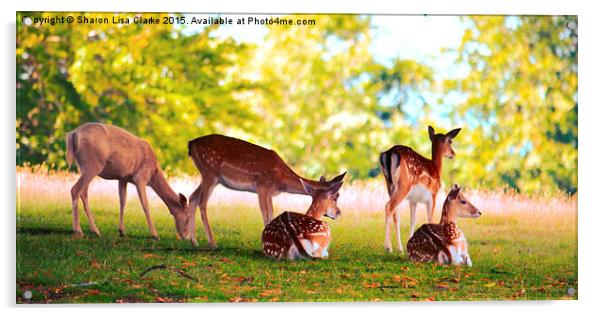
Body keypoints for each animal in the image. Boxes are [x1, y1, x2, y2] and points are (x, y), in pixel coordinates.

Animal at [185, 133, 344, 247]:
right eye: (336, 196)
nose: (338, 213)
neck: (281, 179)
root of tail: (191, 144)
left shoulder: (270, 193)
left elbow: (271, 215)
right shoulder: (262, 186)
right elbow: (266, 215)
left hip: (209, 176)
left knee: (192, 197)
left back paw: (193, 240)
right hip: (210, 172)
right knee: (202, 202)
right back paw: (212, 242)